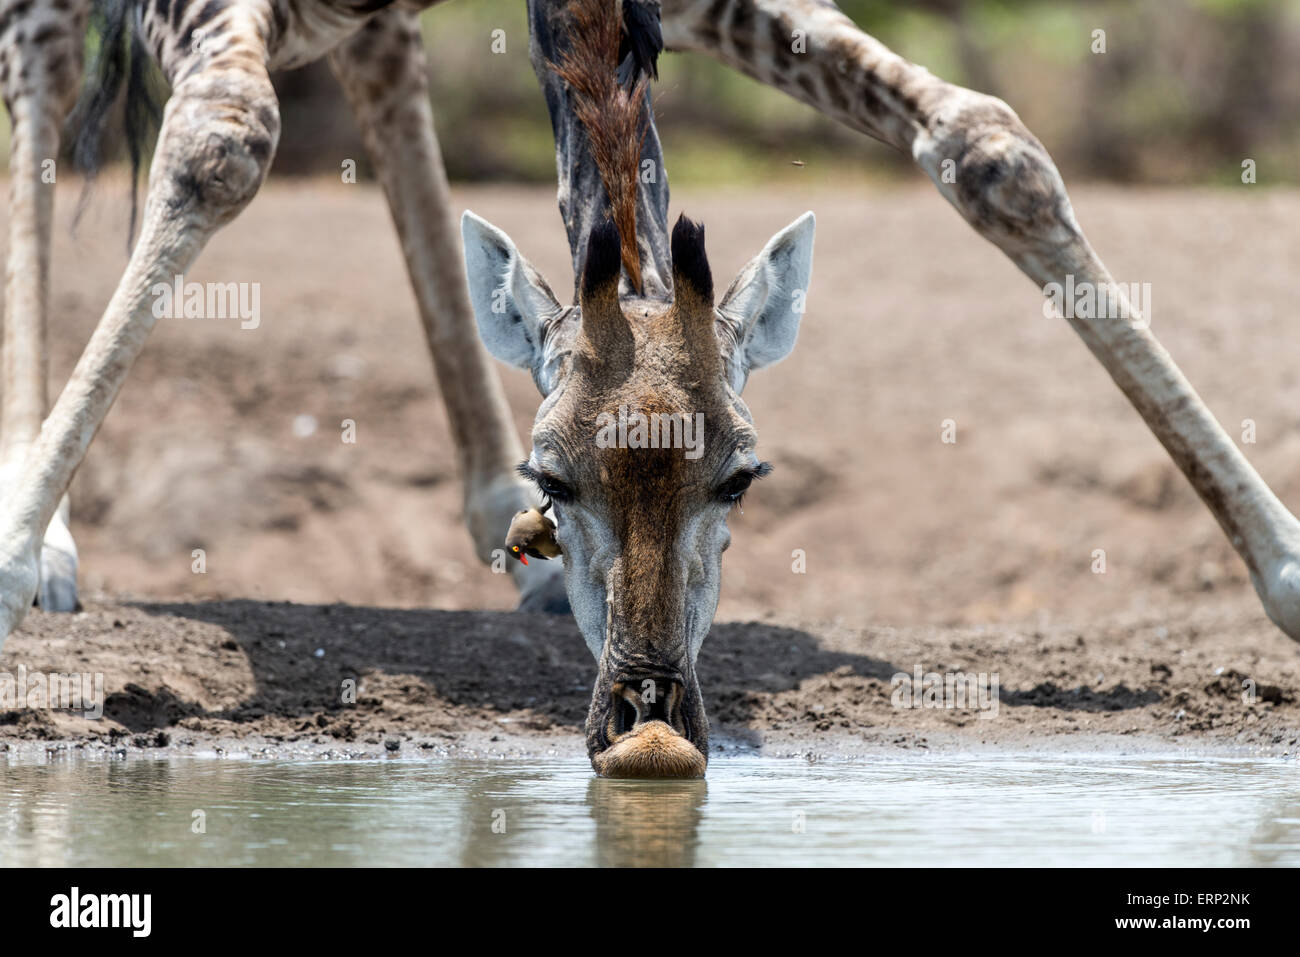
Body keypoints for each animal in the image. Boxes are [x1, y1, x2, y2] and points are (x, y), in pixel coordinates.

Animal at [0, 0, 1289, 769]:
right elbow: (221, 139)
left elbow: (988, 144)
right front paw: (16, 549)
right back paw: (46, 531)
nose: (647, 711)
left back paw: (485, 517)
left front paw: (1282, 567)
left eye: (743, 478)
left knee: (382, 63)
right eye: (558, 477)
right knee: (48, 74)